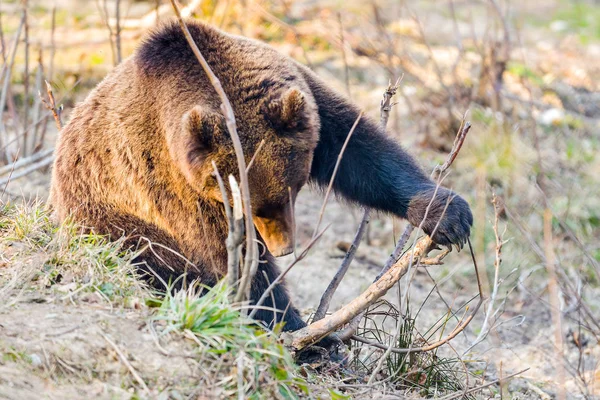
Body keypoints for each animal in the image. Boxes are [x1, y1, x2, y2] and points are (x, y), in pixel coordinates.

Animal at [49, 20, 472, 336]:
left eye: (293, 190)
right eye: (250, 205)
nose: (283, 248)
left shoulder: (309, 107)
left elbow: (362, 153)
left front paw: (446, 214)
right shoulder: (175, 181)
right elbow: (226, 256)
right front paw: (301, 331)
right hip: (106, 216)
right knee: (152, 256)